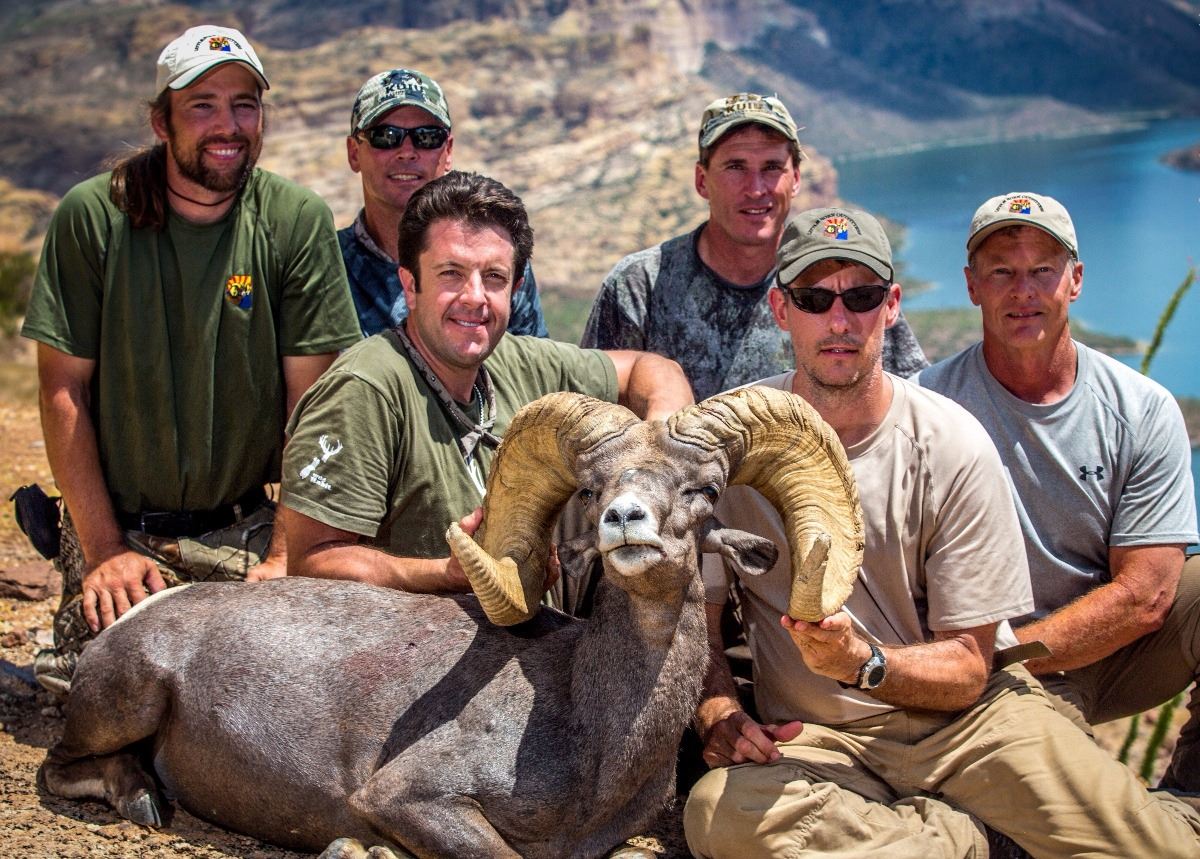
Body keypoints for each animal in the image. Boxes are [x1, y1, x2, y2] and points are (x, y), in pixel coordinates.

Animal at [38, 387, 863, 859]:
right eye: (593, 488)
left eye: (705, 488)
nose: (626, 521)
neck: (597, 730)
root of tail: (137, 620)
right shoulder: (410, 798)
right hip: (126, 699)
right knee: (60, 765)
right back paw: (142, 796)